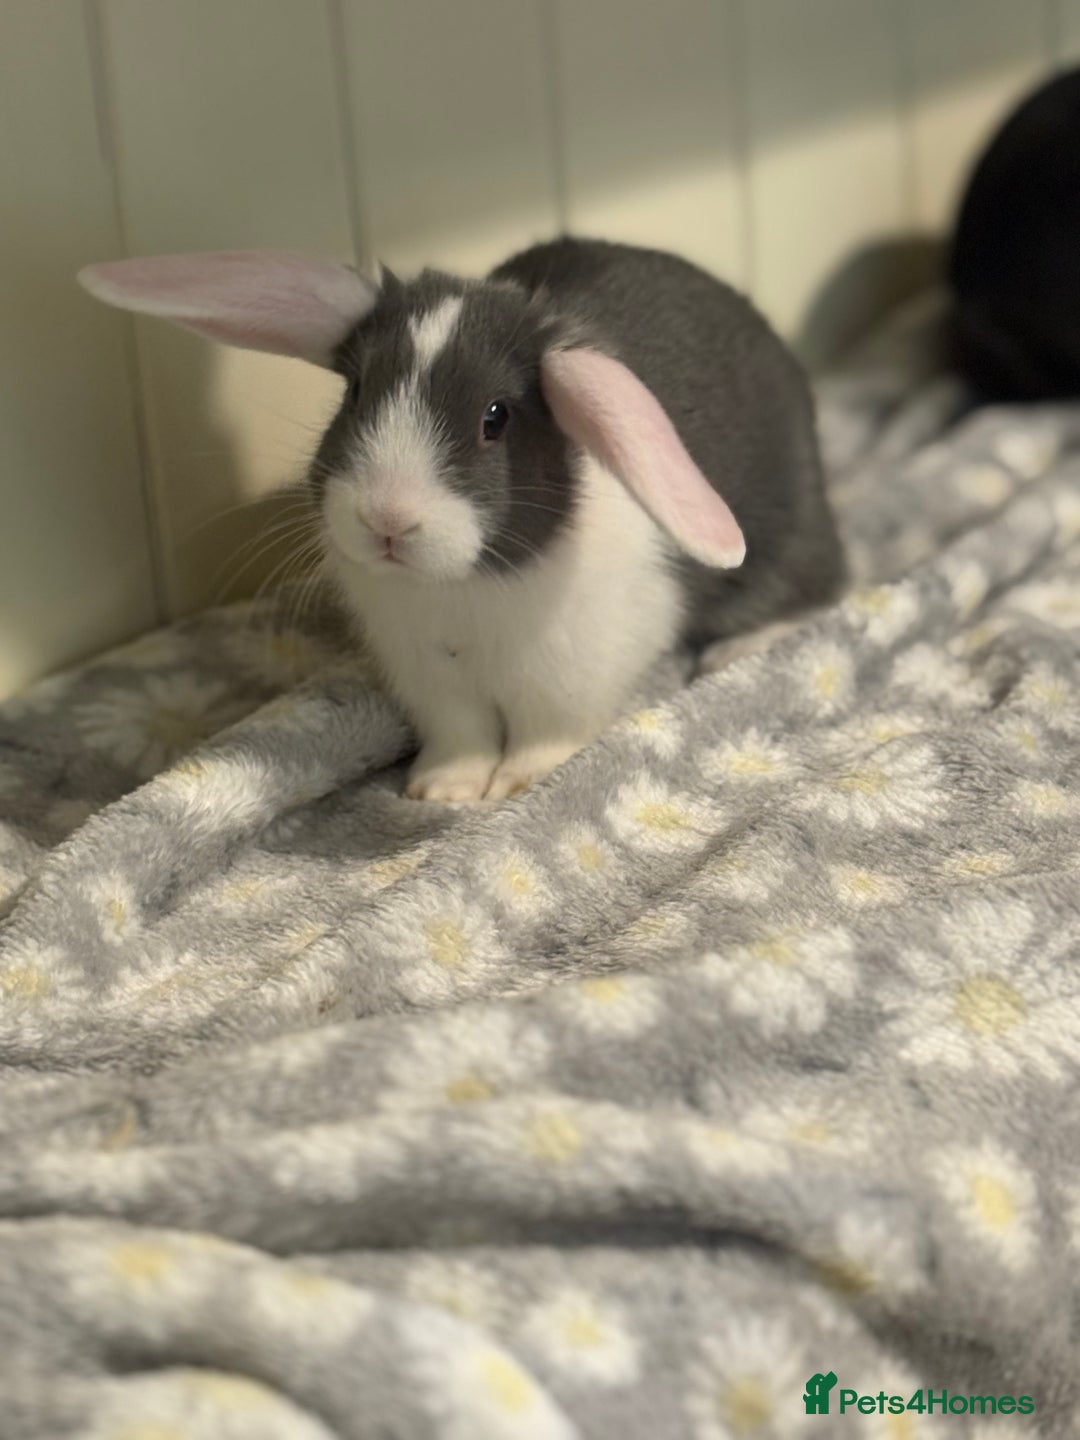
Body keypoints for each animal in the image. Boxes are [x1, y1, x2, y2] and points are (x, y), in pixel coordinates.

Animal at [78, 238, 844, 802]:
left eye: (495, 418)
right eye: (355, 391)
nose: (387, 519)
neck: (460, 590)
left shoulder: (572, 676)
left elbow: (546, 734)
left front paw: (519, 785)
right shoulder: (433, 682)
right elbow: (461, 736)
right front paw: (440, 791)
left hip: (789, 538)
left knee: (819, 590)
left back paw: (735, 651)